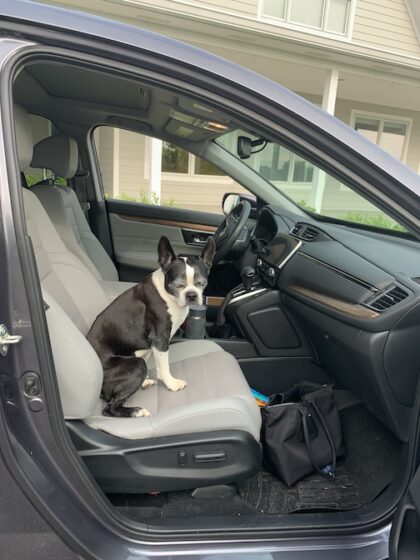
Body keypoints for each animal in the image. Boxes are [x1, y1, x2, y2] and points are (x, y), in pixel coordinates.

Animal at [87, 234, 215, 418]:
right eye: (178, 285)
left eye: (201, 283)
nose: (191, 295)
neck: (168, 295)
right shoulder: (160, 338)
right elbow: (164, 366)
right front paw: (171, 384)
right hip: (136, 365)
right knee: (109, 408)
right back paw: (136, 411)